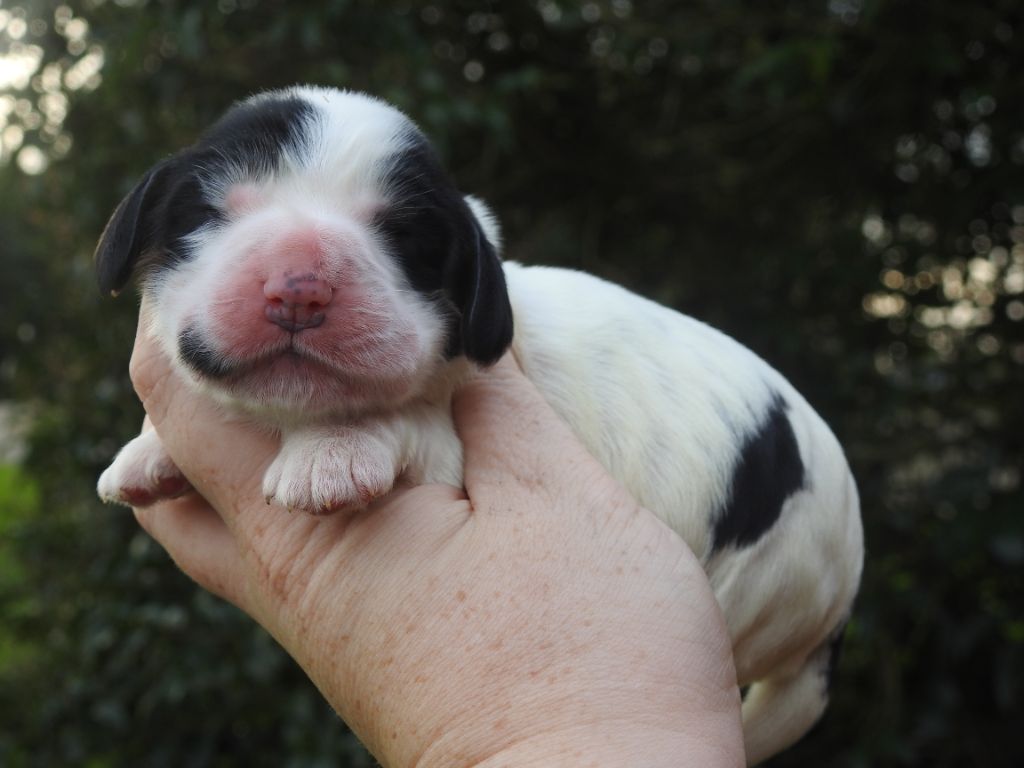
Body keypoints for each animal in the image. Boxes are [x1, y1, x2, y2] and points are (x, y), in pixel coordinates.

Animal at [96, 85, 864, 768]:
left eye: (405, 237)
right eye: (209, 210)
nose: (300, 288)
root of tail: (838, 608)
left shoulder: (451, 449)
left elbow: (404, 415)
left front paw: (332, 451)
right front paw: (148, 451)